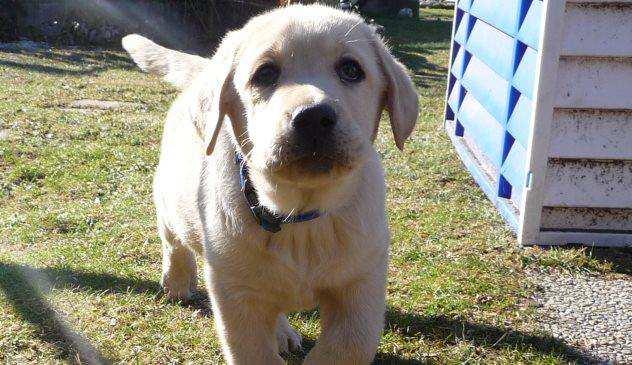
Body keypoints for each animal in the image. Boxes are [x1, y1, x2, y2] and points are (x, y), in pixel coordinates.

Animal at [123, 4, 420, 362]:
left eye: (351, 69)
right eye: (265, 74)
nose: (313, 118)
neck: (300, 214)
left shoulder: (361, 285)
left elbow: (346, 347)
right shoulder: (236, 294)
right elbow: (254, 351)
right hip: (171, 197)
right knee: (173, 240)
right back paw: (178, 281)